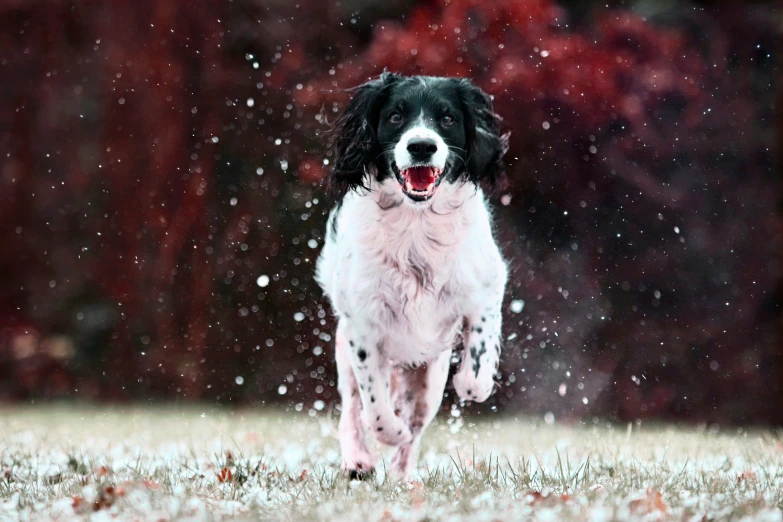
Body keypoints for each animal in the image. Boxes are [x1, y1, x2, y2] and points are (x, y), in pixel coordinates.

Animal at [316, 73, 512, 480]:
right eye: (395, 115)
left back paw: (403, 476)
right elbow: (376, 408)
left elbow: (476, 373)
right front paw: (387, 432)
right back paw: (358, 460)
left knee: (417, 420)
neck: (416, 224)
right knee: (353, 408)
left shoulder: (487, 287)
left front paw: (471, 382)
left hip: (430, 373)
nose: (421, 145)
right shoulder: (362, 324)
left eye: (448, 118)